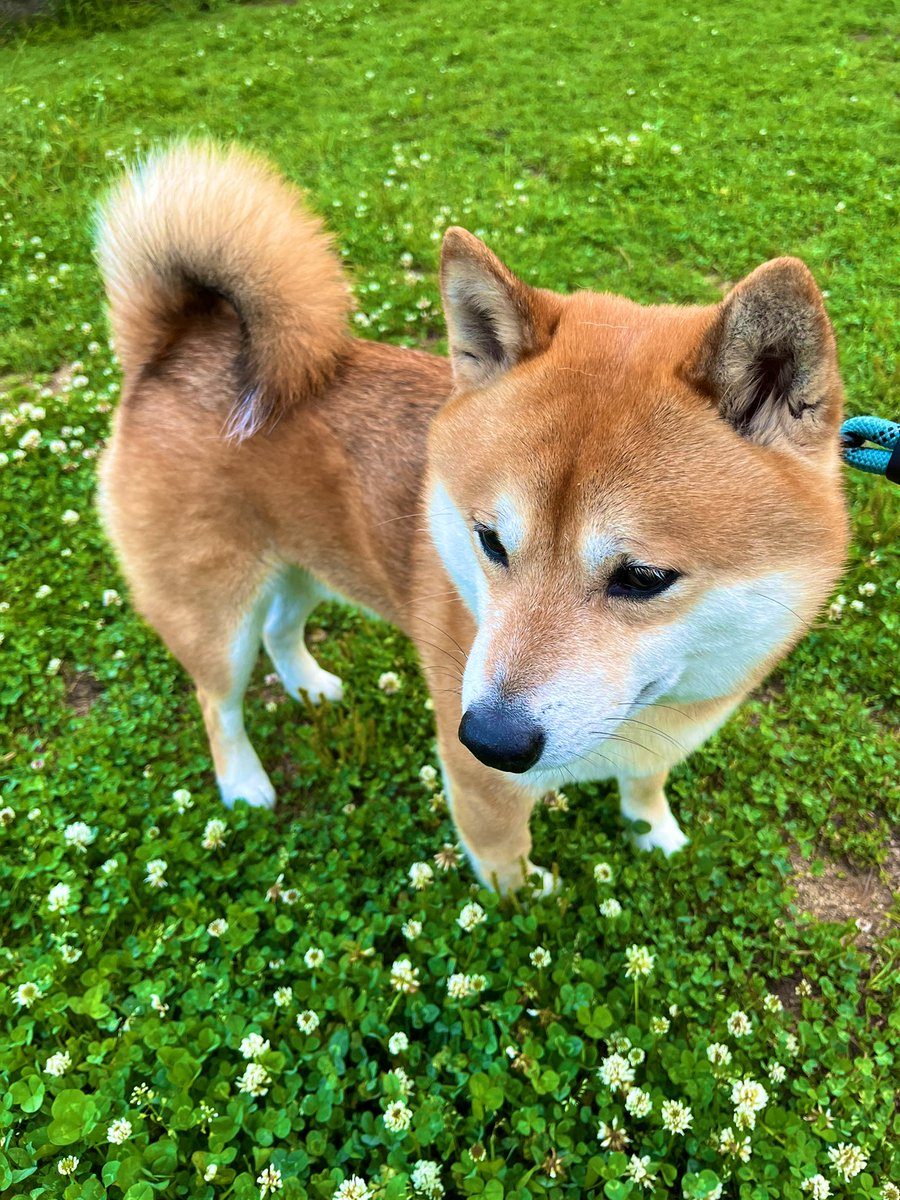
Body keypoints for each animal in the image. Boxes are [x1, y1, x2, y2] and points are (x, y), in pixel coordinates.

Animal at [97, 142, 854, 892]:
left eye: (643, 577)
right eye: (490, 541)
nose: (490, 739)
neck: (658, 712)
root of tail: (176, 348)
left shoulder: (656, 749)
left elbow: (644, 789)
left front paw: (655, 834)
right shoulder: (482, 790)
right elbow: (508, 867)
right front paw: (532, 896)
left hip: (307, 563)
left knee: (283, 627)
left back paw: (309, 686)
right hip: (213, 617)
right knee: (218, 702)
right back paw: (243, 783)